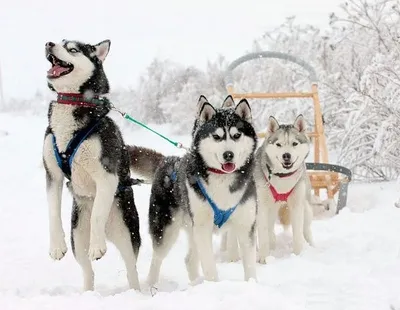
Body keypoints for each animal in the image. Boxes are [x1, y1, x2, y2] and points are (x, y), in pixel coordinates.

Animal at [42, 38, 141, 290]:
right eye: (59, 41)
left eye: (73, 49)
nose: (49, 43)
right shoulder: (53, 175)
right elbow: (52, 212)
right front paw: (56, 247)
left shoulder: (107, 175)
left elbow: (97, 213)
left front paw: (97, 247)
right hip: (77, 237)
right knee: (88, 270)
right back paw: (87, 293)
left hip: (127, 234)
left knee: (131, 269)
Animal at [136, 97, 258, 286]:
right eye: (217, 136)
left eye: (237, 135)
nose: (228, 154)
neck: (222, 180)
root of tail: (167, 160)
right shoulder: (202, 227)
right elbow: (209, 266)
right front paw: (213, 285)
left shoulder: (246, 225)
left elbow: (250, 266)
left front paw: (252, 284)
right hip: (167, 228)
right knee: (157, 258)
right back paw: (150, 285)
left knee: (190, 260)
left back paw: (195, 283)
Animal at [255, 114, 314, 262]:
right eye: (278, 144)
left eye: (295, 143)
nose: (286, 155)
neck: (282, 178)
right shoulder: (262, 207)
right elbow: (263, 234)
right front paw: (263, 258)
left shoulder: (297, 206)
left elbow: (297, 234)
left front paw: (298, 255)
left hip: (306, 208)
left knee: (306, 230)